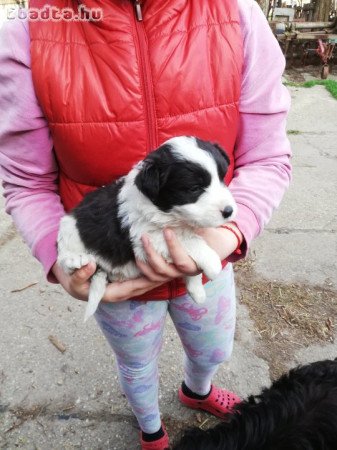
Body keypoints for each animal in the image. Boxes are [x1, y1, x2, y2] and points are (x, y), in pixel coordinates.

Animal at [56, 135, 236, 322]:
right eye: (194, 188)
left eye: (222, 178)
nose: (229, 211)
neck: (170, 215)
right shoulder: (148, 238)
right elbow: (189, 241)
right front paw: (212, 264)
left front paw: (196, 290)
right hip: (68, 231)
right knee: (63, 259)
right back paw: (75, 260)